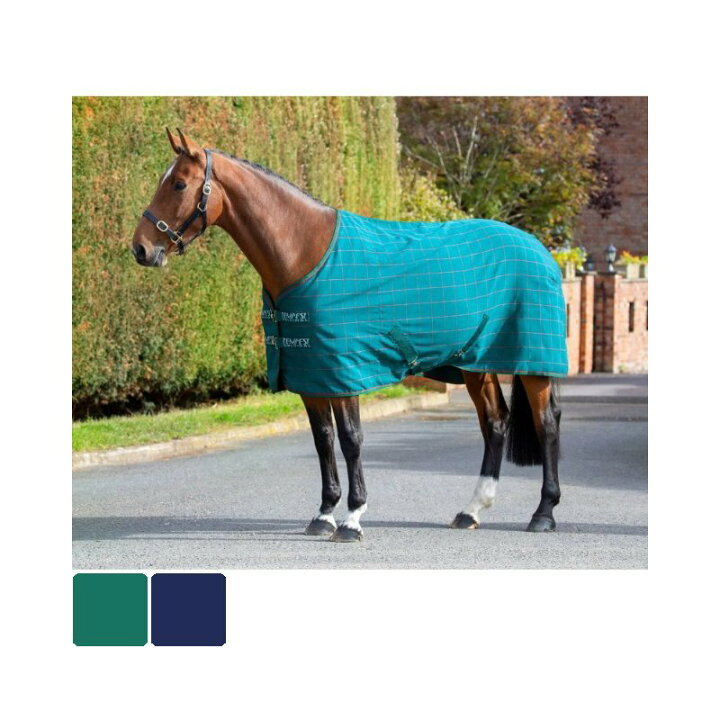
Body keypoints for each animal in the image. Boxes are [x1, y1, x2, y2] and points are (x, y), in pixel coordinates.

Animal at [131, 128, 563, 542]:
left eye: (179, 185)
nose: (141, 249)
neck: (305, 253)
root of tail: (538, 248)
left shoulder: (344, 373)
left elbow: (351, 439)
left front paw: (353, 519)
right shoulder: (310, 374)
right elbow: (324, 440)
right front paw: (324, 515)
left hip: (533, 362)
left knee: (546, 423)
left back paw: (543, 514)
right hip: (476, 363)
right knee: (495, 422)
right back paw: (471, 511)